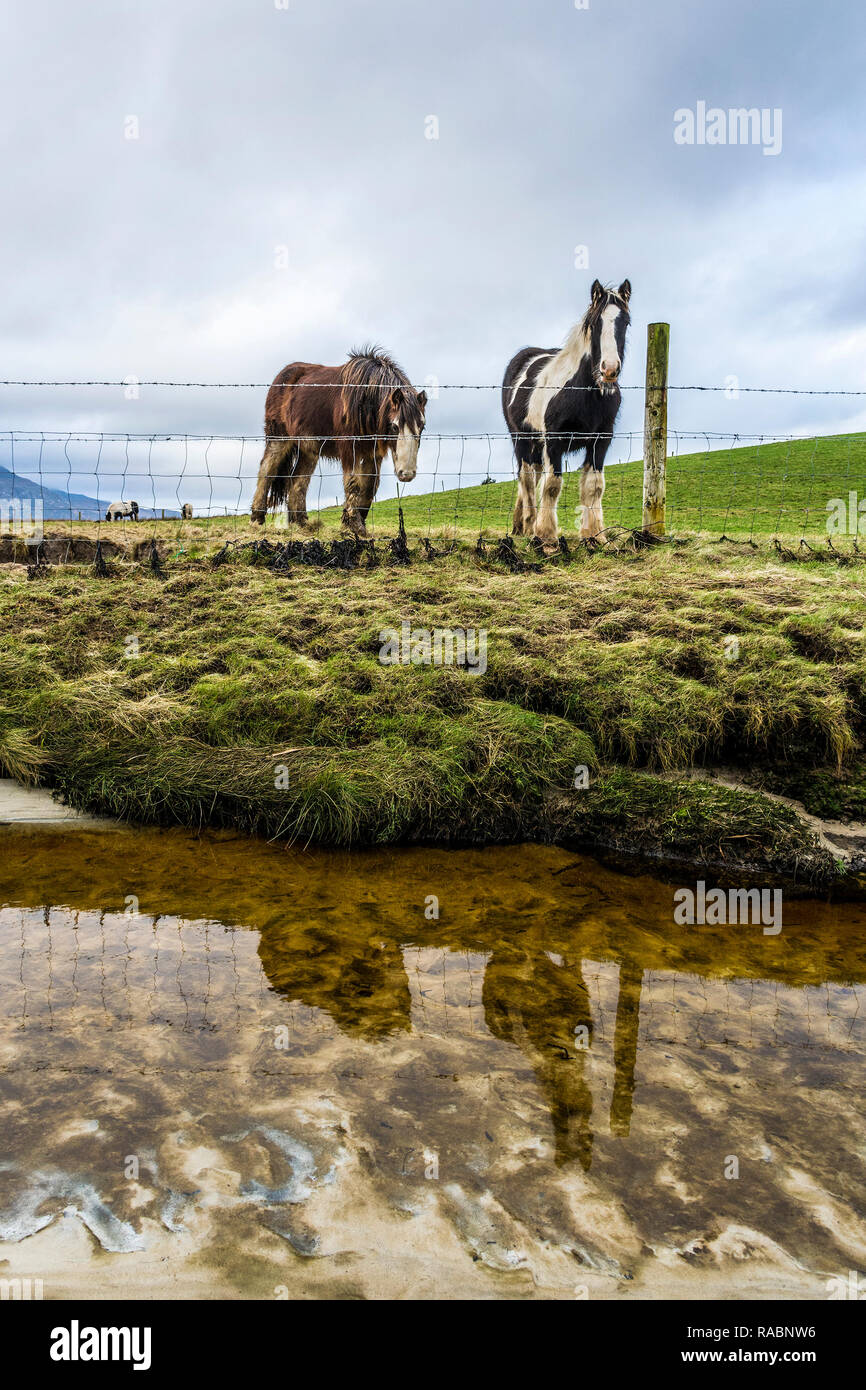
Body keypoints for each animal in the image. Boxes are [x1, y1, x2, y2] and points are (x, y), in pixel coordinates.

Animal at [250, 348, 427, 535]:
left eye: (422, 426)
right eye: (394, 426)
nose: (406, 474)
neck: (365, 400)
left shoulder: (373, 453)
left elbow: (370, 485)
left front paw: (359, 523)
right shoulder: (350, 449)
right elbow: (353, 484)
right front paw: (353, 525)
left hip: (309, 449)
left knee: (298, 480)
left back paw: (301, 522)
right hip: (278, 438)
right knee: (267, 469)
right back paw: (257, 519)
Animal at [501, 279, 631, 549]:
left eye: (625, 322)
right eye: (594, 323)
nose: (609, 369)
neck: (584, 391)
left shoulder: (601, 440)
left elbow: (594, 486)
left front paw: (595, 536)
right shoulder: (554, 440)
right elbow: (552, 485)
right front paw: (547, 537)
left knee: (533, 477)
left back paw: (521, 525)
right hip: (521, 440)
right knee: (526, 479)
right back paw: (529, 525)